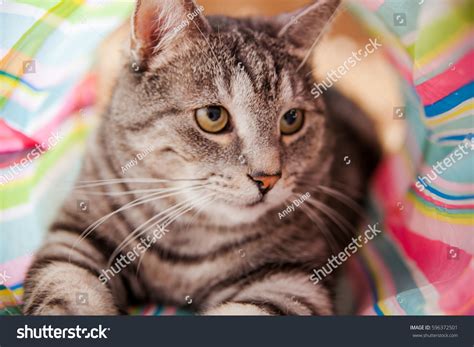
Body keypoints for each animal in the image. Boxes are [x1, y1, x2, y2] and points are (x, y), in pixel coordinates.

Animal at [23, 0, 382, 316]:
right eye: (213, 116)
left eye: (292, 119)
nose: (267, 178)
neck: (188, 239)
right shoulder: (75, 237)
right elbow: (65, 291)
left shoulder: (292, 279)